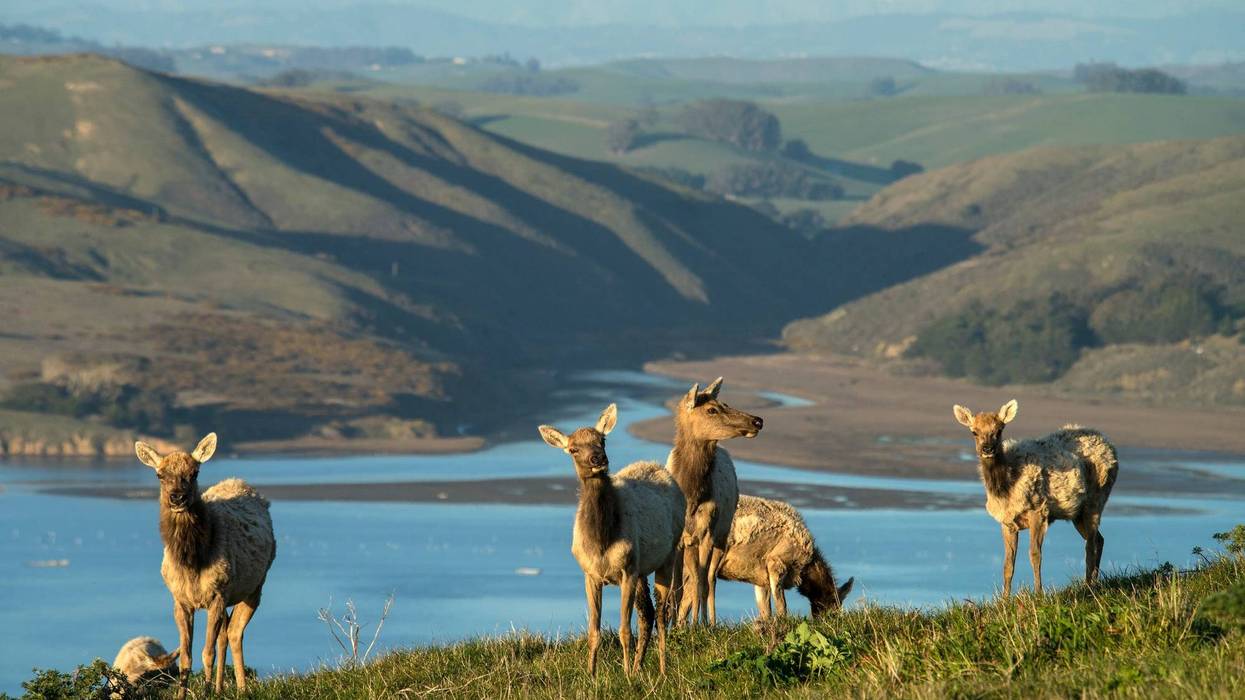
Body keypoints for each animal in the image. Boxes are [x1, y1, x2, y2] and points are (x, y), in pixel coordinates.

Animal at [134, 433, 276, 696]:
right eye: (159, 475)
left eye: (194, 472)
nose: (177, 497)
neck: (192, 565)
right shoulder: (180, 600)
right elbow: (186, 657)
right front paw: (183, 695)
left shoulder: (218, 594)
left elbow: (206, 653)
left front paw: (206, 692)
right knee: (226, 633)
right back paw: (221, 689)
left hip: (254, 586)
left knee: (234, 632)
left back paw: (241, 689)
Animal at [539, 404, 685, 675]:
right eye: (573, 449)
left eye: (602, 440)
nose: (598, 458)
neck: (601, 542)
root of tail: (658, 466)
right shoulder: (590, 574)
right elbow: (594, 631)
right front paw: (591, 674)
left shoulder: (627, 570)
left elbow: (624, 631)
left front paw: (626, 675)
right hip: (641, 569)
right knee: (647, 613)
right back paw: (640, 666)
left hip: (668, 553)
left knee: (662, 612)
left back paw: (661, 669)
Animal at [953, 400, 1119, 596]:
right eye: (974, 431)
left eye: (1000, 430)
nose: (988, 449)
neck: (1006, 488)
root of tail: (1111, 446)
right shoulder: (1007, 521)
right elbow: (1008, 563)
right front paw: (1005, 598)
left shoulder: (1038, 510)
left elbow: (1035, 555)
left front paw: (1039, 593)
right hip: (1077, 513)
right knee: (1099, 539)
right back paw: (1093, 582)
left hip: (1096, 498)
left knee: (1090, 543)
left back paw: (1088, 586)